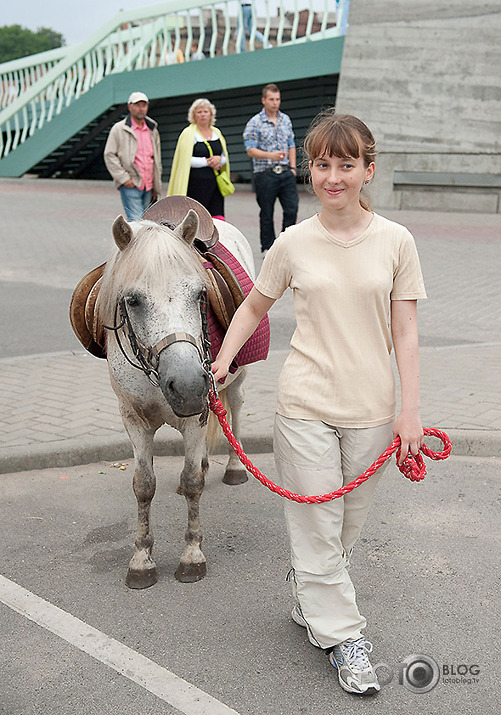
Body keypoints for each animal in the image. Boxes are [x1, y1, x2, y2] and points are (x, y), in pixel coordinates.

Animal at [95, 210, 254, 592]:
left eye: (200, 294)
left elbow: (195, 481)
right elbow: (143, 485)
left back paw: (234, 468)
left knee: (236, 415)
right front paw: (141, 559)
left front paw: (192, 556)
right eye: (133, 300)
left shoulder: (196, 416)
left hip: (236, 381)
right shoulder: (133, 420)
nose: (188, 384)